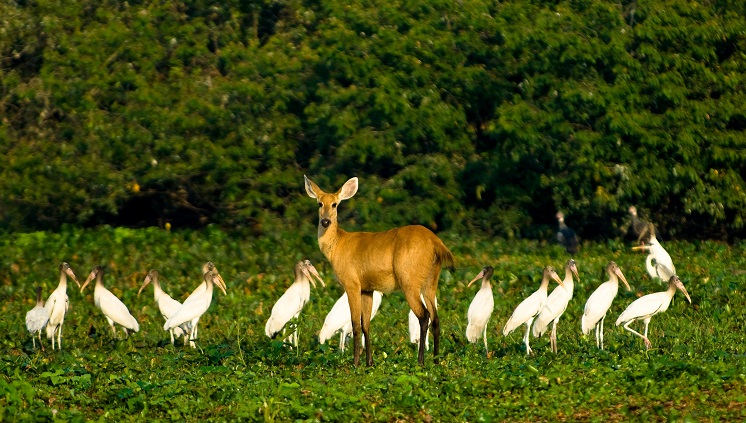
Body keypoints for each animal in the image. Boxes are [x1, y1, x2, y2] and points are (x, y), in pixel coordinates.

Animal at [304, 176, 454, 368]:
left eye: (335, 204)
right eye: (319, 203)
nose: (325, 222)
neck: (337, 245)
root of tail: (436, 242)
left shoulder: (351, 283)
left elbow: (355, 324)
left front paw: (356, 363)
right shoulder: (367, 288)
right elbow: (366, 324)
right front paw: (369, 363)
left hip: (409, 280)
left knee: (424, 315)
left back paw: (420, 361)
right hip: (431, 280)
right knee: (435, 317)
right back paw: (435, 360)